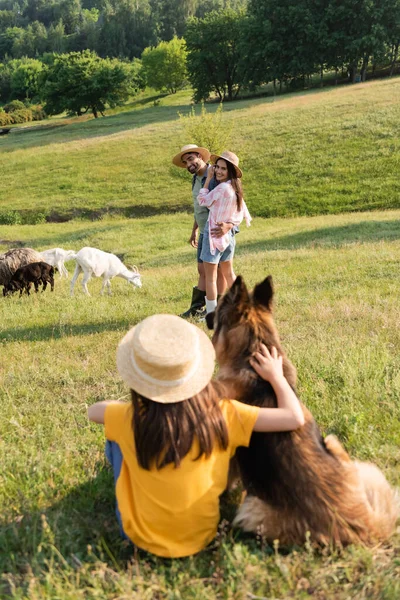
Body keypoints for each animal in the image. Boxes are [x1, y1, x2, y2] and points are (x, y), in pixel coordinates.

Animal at [208, 274, 398, 548]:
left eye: (221, 303)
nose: (205, 315)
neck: (254, 349)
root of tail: (362, 530)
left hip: (252, 508)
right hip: (333, 442)